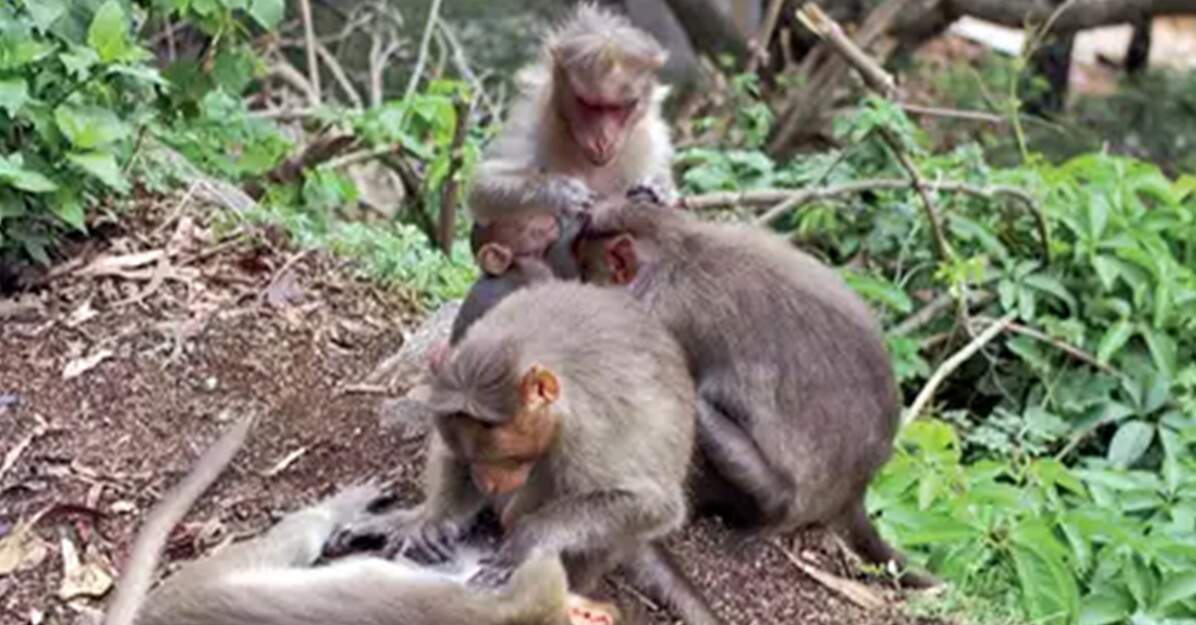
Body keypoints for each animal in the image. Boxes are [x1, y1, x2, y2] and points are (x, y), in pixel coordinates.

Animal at [328, 281, 727, 625]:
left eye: (509, 459)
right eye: (477, 461)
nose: (487, 483)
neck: (526, 347)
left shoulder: (589, 433)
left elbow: (655, 504)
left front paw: (529, 539)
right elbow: (449, 451)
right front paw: (429, 520)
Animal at [572, 197, 939, 589]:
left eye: (586, 272)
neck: (675, 247)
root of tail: (854, 493)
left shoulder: (657, 313)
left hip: (782, 496)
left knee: (702, 409)